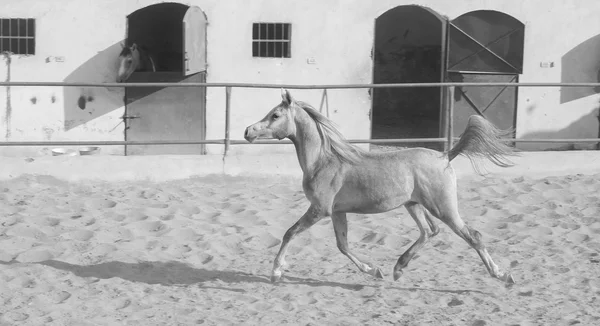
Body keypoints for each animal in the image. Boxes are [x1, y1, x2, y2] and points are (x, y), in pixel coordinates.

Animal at [246, 89, 516, 286]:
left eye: (275, 115)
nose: (248, 131)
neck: (324, 161)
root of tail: (446, 156)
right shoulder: (337, 212)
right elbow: (343, 246)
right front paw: (374, 270)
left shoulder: (319, 210)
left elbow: (289, 233)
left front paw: (276, 272)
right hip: (414, 205)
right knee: (429, 231)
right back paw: (398, 268)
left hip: (443, 208)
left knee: (472, 236)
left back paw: (502, 275)